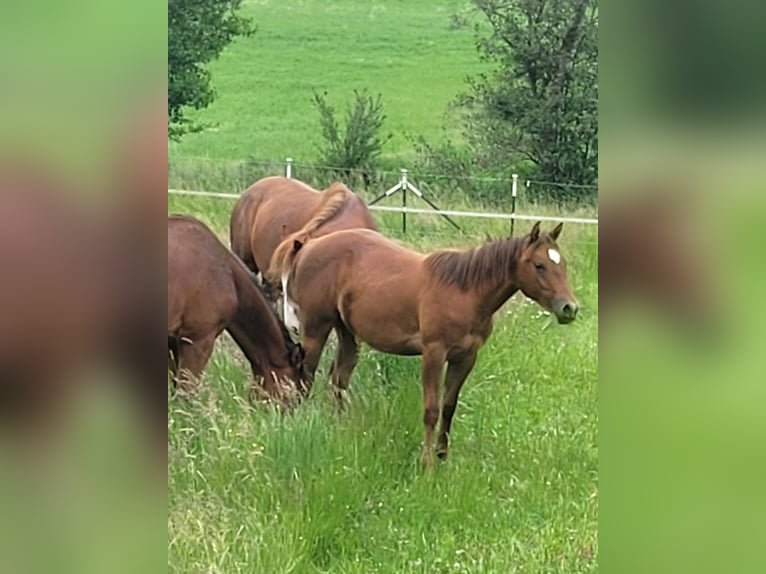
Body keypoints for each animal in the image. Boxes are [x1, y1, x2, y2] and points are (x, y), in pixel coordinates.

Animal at [168, 214, 307, 405]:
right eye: (294, 394)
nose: (293, 410)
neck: (227, 272)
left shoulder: (174, 342)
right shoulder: (198, 341)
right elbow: (185, 393)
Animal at [267, 222, 579, 465]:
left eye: (562, 264)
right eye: (539, 265)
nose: (569, 308)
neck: (465, 292)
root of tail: (307, 246)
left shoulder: (465, 357)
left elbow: (449, 406)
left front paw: (442, 456)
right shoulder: (433, 353)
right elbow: (431, 409)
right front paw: (426, 462)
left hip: (346, 332)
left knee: (338, 379)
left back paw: (341, 426)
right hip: (316, 329)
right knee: (305, 380)